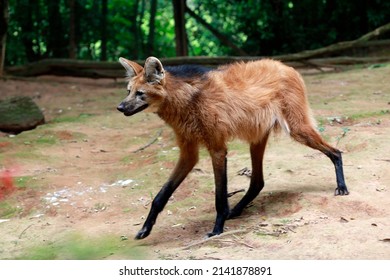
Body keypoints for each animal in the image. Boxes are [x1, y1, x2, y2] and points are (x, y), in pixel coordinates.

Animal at [117, 56, 348, 238]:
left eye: (140, 93)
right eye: (128, 91)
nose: (120, 107)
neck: (186, 101)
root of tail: (287, 67)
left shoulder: (217, 148)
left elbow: (220, 196)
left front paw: (217, 229)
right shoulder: (189, 152)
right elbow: (160, 196)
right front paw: (144, 229)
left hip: (298, 130)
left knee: (336, 152)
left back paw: (342, 187)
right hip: (257, 138)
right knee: (257, 182)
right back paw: (236, 210)